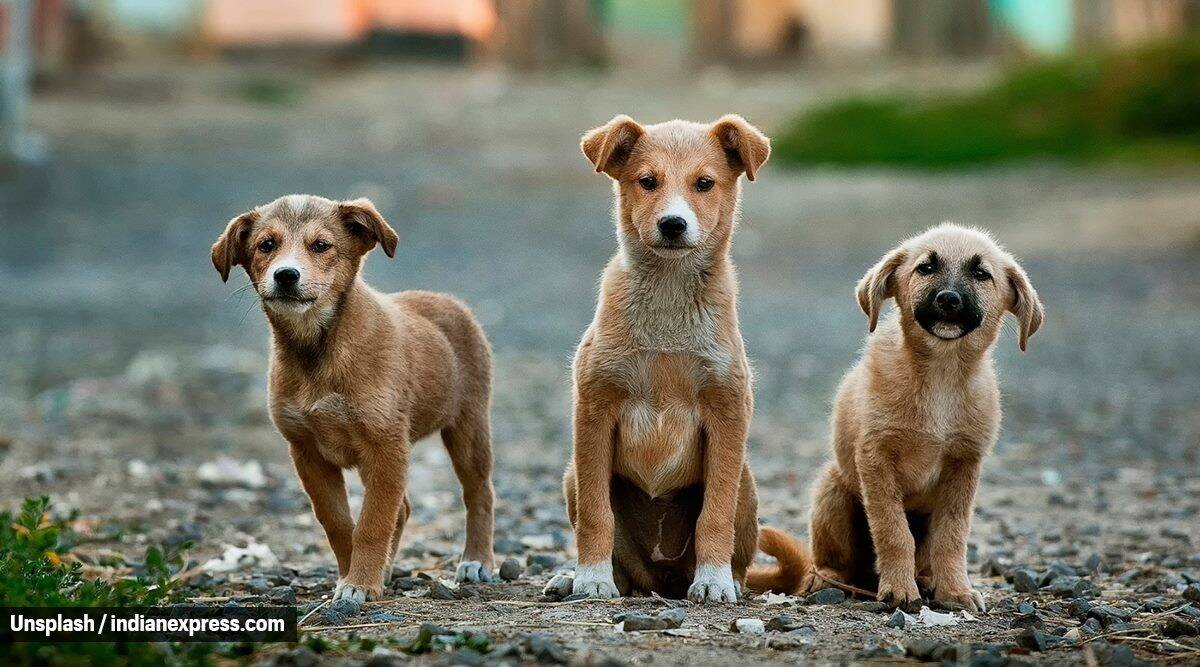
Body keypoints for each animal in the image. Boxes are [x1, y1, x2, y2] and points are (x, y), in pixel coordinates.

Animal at [212, 194, 496, 604]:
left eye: (321, 245)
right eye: (266, 245)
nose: (286, 275)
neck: (318, 351)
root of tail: (447, 301)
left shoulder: (386, 446)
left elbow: (373, 523)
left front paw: (360, 583)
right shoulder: (307, 452)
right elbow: (339, 523)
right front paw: (354, 576)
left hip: (468, 426)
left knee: (479, 493)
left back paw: (477, 560)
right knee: (403, 508)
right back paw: (388, 570)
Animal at [549, 114, 772, 604]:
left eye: (704, 183)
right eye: (647, 181)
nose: (672, 224)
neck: (668, 302)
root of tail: (662, 579)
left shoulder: (728, 412)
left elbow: (715, 514)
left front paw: (713, 580)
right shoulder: (594, 409)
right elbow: (596, 514)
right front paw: (591, 578)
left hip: (746, 482)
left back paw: (727, 579)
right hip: (572, 474)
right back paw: (574, 578)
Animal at [748, 223, 1041, 609]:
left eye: (981, 274)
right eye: (925, 268)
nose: (949, 299)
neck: (940, 375)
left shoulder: (964, 465)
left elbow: (952, 536)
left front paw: (955, 591)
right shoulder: (876, 458)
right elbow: (893, 531)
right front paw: (900, 590)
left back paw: (927, 581)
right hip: (832, 490)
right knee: (830, 561)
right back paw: (829, 580)